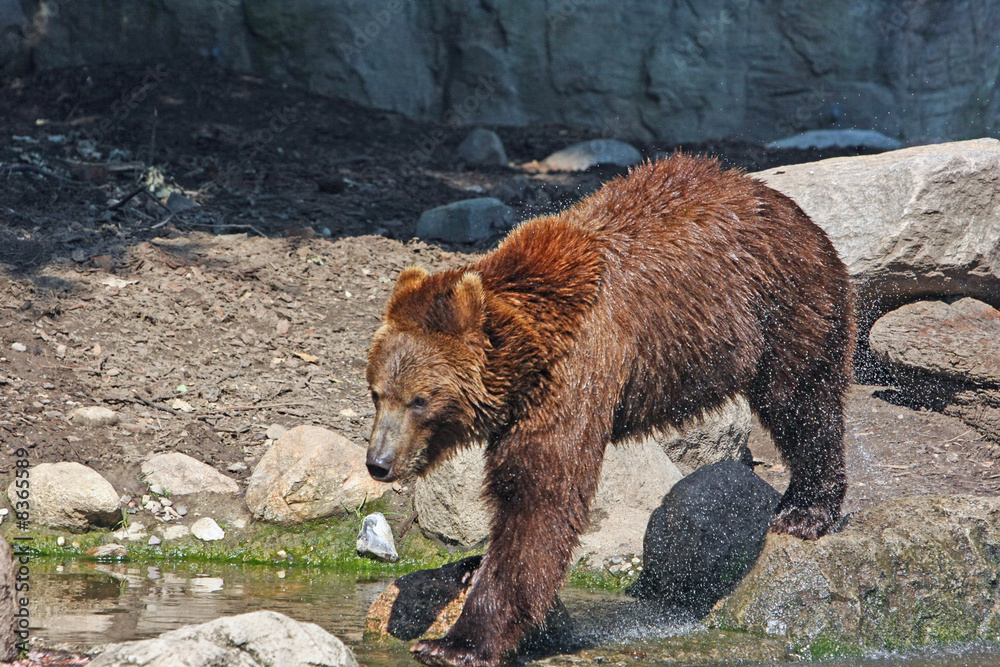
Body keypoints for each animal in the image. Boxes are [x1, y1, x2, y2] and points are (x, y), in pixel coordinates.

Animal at [365, 154, 855, 667]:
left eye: (419, 400)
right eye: (377, 393)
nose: (379, 463)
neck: (533, 349)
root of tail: (779, 201)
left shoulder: (575, 376)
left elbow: (540, 498)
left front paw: (455, 642)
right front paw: (469, 567)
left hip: (784, 301)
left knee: (803, 402)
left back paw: (804, 509)